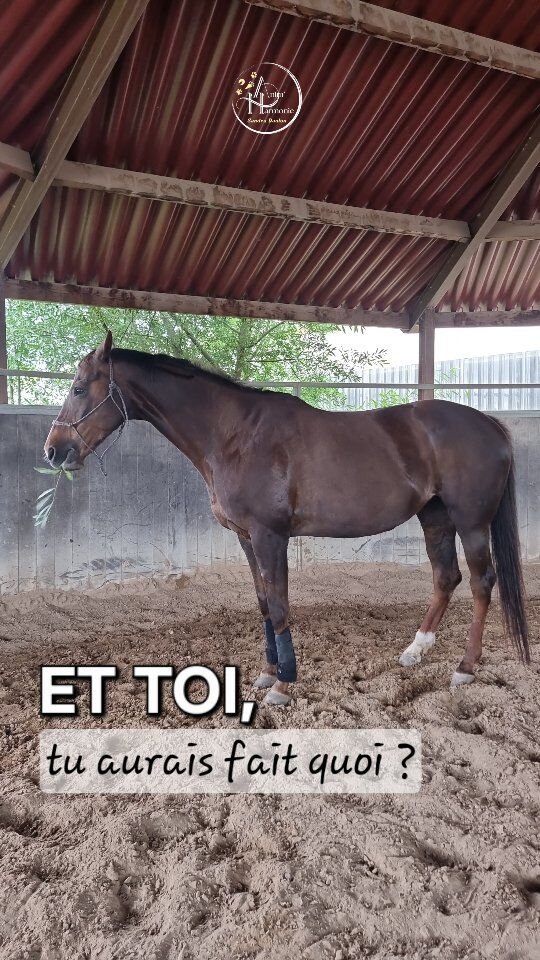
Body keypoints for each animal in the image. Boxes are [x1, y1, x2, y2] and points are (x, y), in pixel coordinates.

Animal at [44, 332, 529, 706]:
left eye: (79, 388)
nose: (54, 450)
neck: (236, 436)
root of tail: (489, 423)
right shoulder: (246, 538)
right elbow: (263, 602)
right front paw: (266, 672)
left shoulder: (269, 536)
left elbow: (279, 605)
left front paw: (283, 683)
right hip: (435, 516)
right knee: (446, 577)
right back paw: (415, 651)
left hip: (471, 521)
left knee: (482, 582)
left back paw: (465, 667)